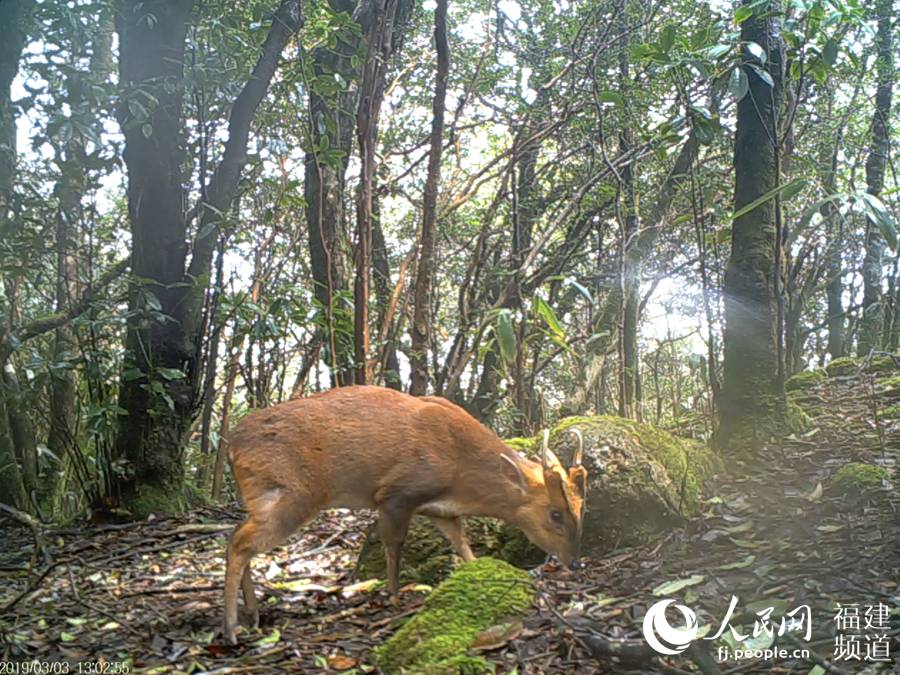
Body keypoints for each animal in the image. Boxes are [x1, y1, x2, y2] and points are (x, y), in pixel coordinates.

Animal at [221, 386, 588, 644]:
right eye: (555, 514)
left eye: (581, 508)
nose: (575, 562)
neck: (458, 467)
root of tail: (231, 445)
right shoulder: (396, 494)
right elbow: (394, 545)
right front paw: (395, 598)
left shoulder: (440, 510)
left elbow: (461, 542)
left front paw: (479, 570)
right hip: (292, 493)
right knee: (239, 541)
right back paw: (232, 627)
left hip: (264, 494)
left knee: (240, 536)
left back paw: (252, 613)